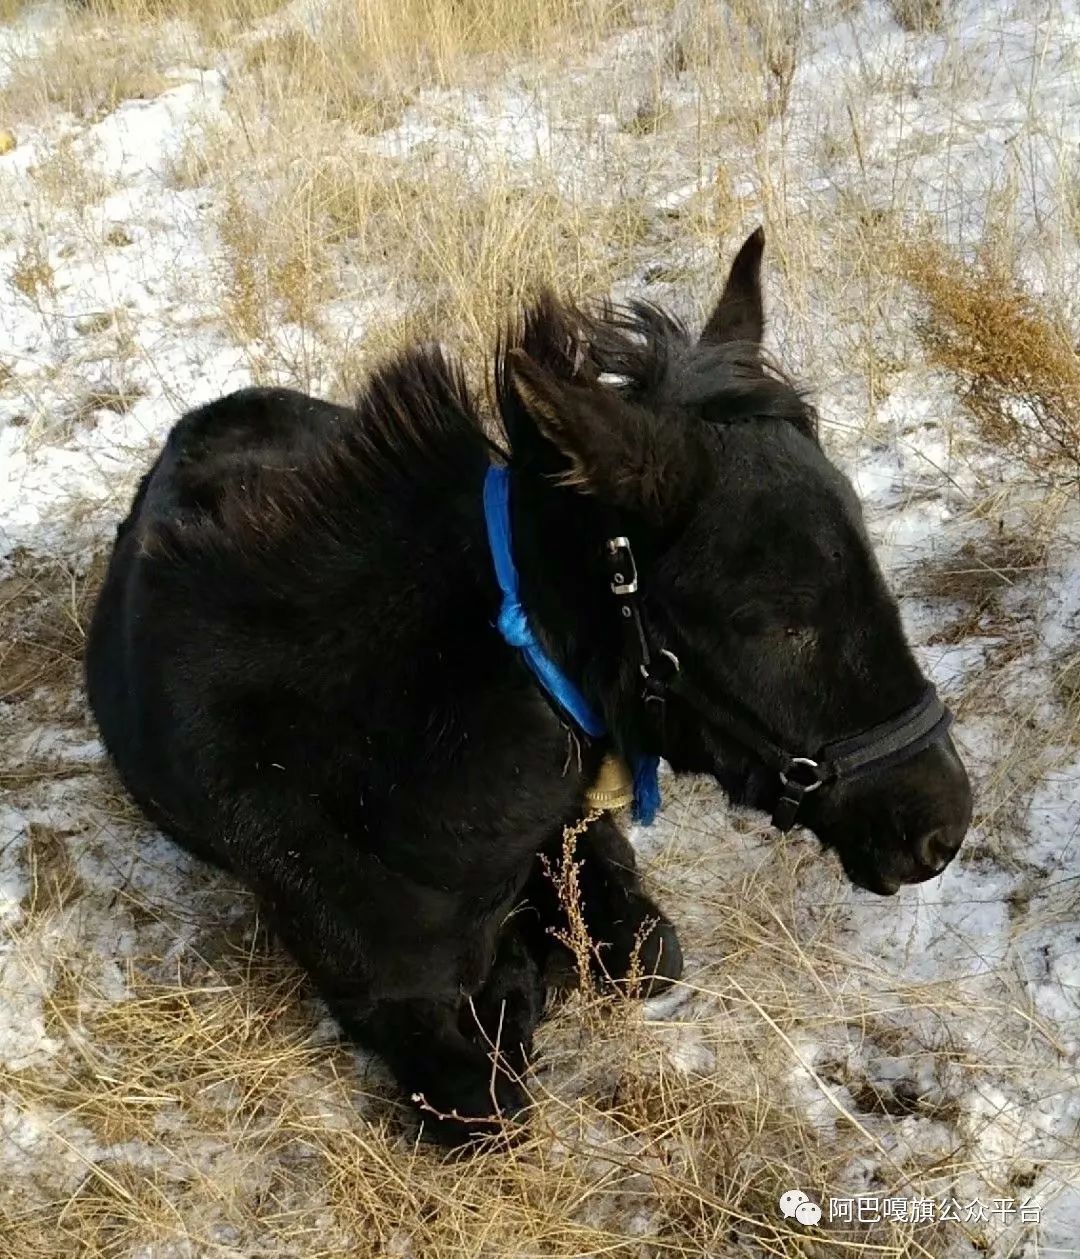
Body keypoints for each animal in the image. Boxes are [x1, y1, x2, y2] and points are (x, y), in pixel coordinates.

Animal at [88, 226, 971, 1143]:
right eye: (769, 617)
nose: (942, 826)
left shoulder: (581, 833)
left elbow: (649, 953)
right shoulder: (394, 1009)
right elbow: (494, 1090)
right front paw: (525, 970)